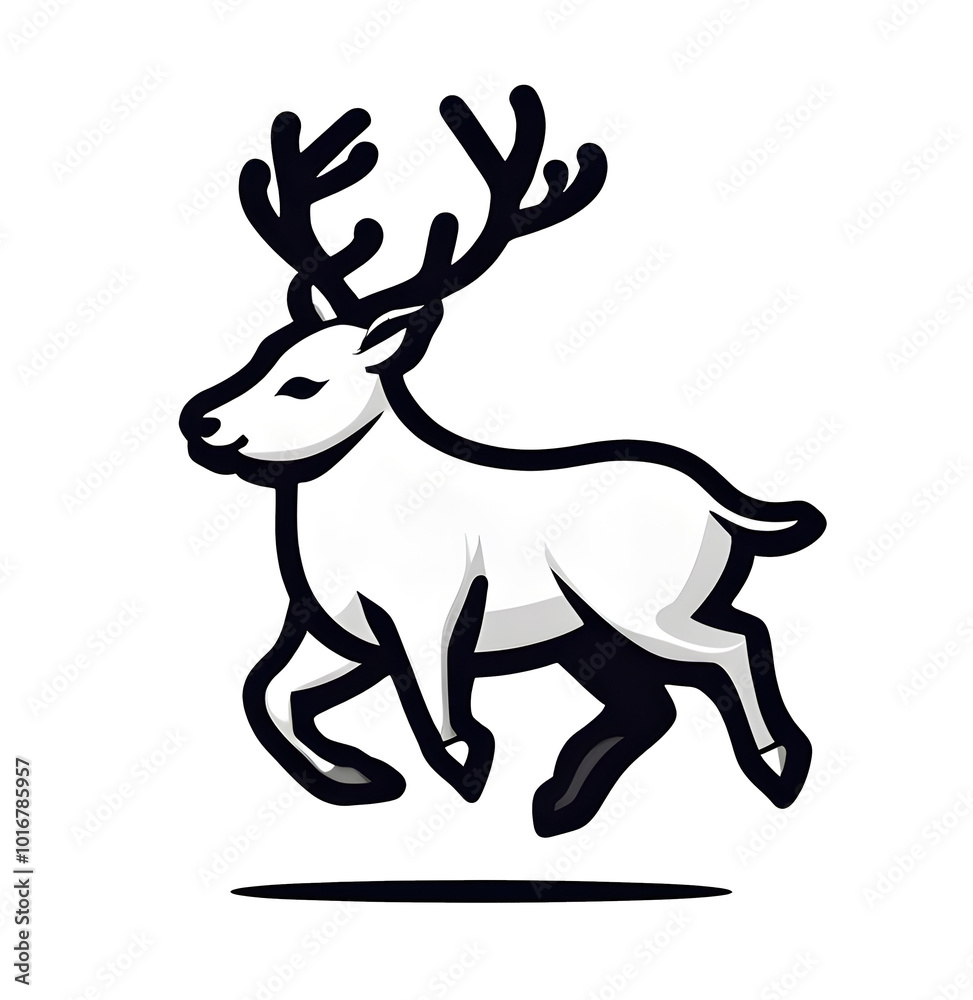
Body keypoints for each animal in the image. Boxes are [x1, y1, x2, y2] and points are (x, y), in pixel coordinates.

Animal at [180, 85, 825, 838]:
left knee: (735, 645)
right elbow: (270, 693)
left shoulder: (423, 617)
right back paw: (558, 803)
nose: (201, 423)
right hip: (590, 637)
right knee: (655, 702)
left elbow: (435, 710)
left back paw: (777, 764)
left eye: (302, 383)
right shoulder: (337, 634)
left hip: (643, 609)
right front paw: (361, 776)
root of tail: (717, 504)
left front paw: (467, 766)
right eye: (265, 352)